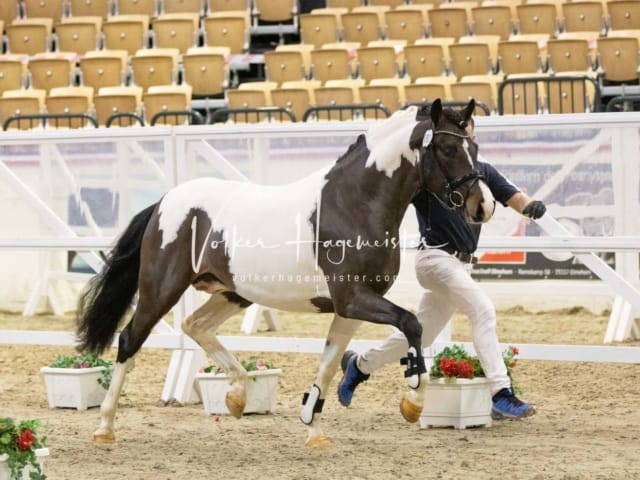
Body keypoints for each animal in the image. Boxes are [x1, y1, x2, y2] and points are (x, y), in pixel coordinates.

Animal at [75, 99, 496, 448]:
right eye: (447, 149)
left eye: (475, 149)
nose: (483, 206)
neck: (354, 203)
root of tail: (166, 201)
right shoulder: (353, 299)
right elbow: (411, 324)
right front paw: (413, 401)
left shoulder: (349, 308)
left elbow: (329, 364)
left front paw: (313, 427)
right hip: (161, 289)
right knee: (130, 339)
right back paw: (104, 427)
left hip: (233, 292)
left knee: (196, 326)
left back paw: (237, 396)